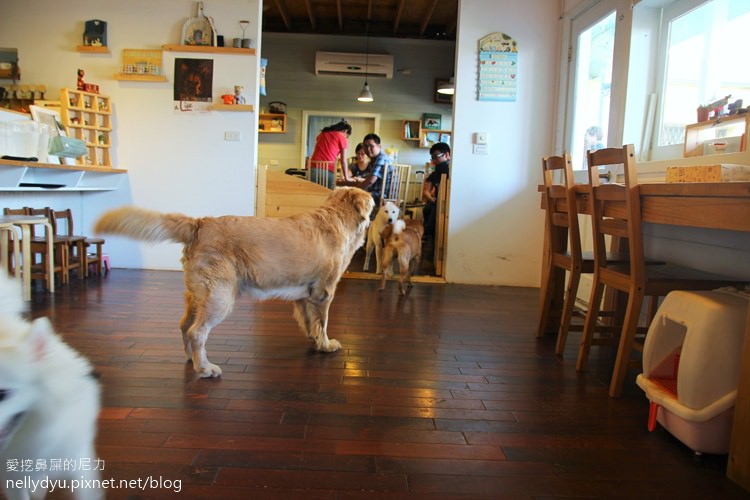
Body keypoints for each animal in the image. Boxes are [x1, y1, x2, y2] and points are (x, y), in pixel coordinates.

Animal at [95, 188, 374, 378]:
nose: (379, 205)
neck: (337, 218)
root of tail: (200, 223)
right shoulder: (323, 292)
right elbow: (322, 322)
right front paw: (326, 345)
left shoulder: (304, 295)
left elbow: (309, 322)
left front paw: (315, 341)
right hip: (220, 297)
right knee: (197, 332)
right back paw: (205, 368)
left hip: (197, 296)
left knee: (185, 326)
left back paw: (191, 359)